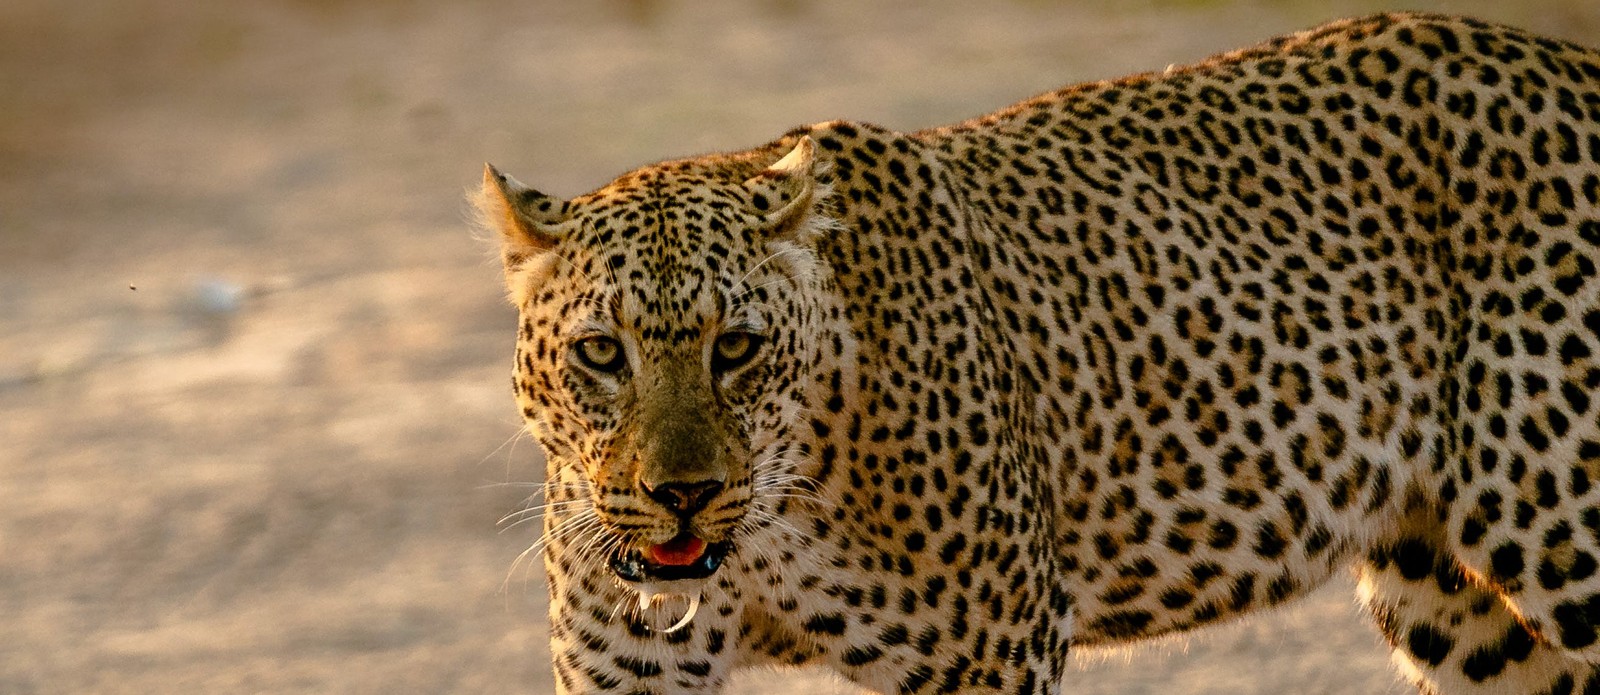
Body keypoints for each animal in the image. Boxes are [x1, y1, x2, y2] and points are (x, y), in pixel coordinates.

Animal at [475, 12, 1600, 694]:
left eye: (737, 347)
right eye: (602, 352)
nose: (682, 494)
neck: (769, 533)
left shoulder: (991, 653)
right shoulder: (625, 666)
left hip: (1563, 527)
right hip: (1449, 596)